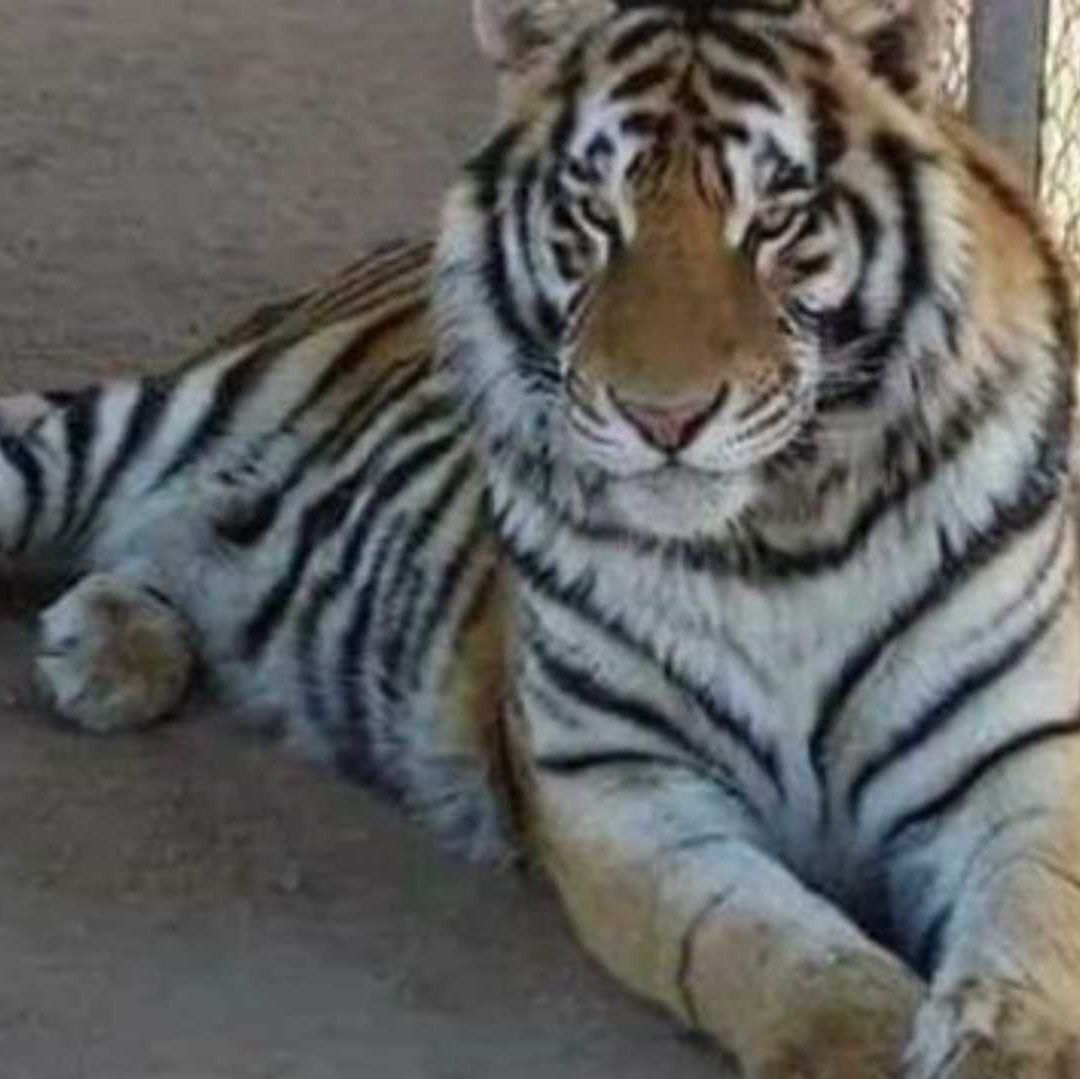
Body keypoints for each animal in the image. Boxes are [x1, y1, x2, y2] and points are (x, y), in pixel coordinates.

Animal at [2, 0, 1079, 1073]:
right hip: (128, 429)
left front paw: (1001, 1048)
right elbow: (774, 953)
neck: (783, 540)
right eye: (596, 216)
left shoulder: (1017, 760)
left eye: (775, 218)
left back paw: (108, 645)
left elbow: (1035, 932)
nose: (664, 417)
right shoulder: (619, 779)